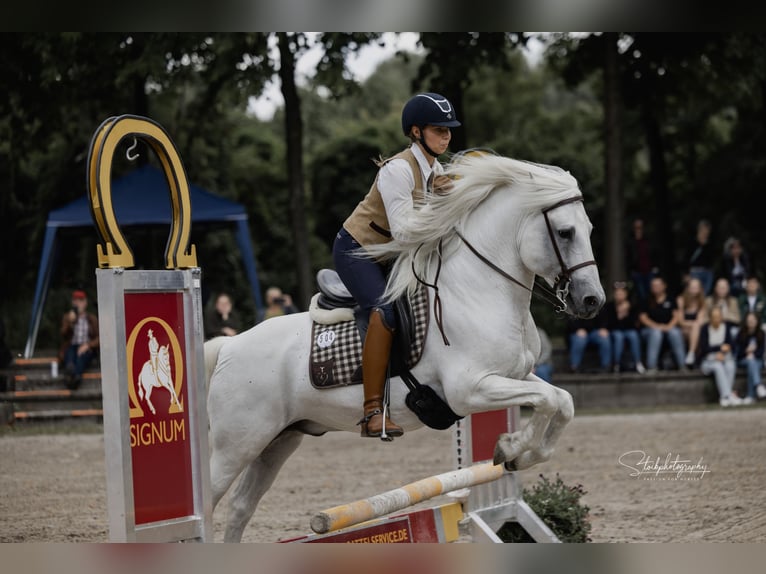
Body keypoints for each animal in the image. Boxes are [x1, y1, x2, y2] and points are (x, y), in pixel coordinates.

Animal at [204, 153, 605, 542]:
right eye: (565, 233)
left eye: (588, 230)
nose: (592, 301)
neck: (479, 291)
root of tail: (230, 345)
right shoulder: (470, 390)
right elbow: (548, 401)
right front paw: (509, 447)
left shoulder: (513, 376)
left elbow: (561, 401)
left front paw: (519, 455)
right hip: (236, 443)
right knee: (211, 500)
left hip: (278, 440)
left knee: (240, 507)